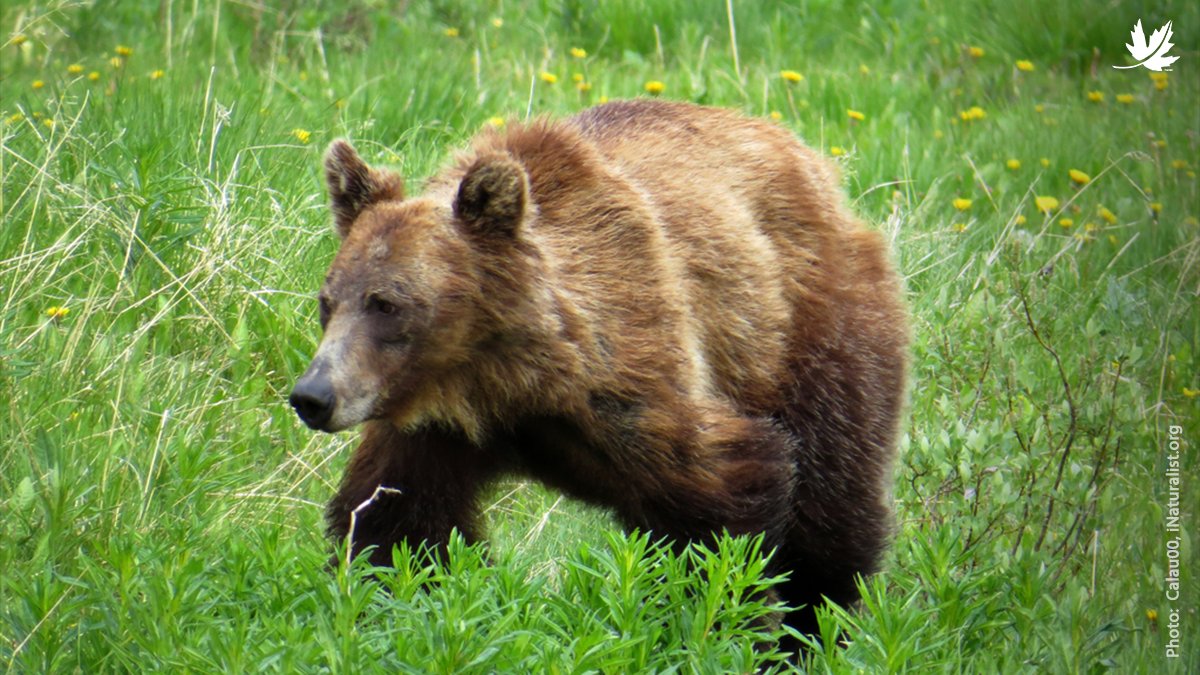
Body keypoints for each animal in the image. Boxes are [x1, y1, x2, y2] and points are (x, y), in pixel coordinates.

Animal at [289, 99, 909, 639]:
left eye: (387, 304)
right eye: (327, 301)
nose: (313, 395)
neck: (501, 378)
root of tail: (815, 166)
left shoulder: (637, 371)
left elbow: (725, 504)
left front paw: (722, 621)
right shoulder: (434, 427)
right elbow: (397, 524)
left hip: (811, 332)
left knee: (831, 498)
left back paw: (820, 625)